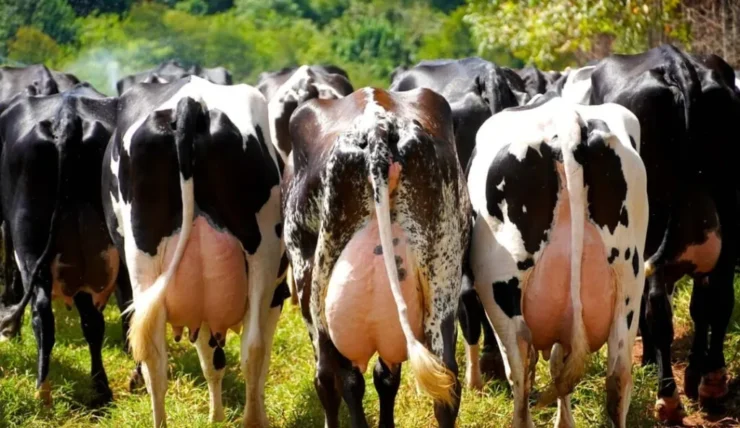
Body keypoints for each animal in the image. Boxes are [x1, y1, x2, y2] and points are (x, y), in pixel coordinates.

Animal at [0, 83, 121, 407]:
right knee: (93, 320)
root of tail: (67, 117)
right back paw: (99, 390)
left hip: (30, 243)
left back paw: (43, 393)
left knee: (43, 315)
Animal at [103, 76, 285, 426]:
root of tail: (190, 102)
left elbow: (210, 359)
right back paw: (253, 420)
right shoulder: (276, 297)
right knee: (253, 348)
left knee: (153, 358)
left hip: (141, 258)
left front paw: (216, 416)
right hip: (264, 253)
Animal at [283, 87, 471, 427]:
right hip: (442, 280)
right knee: (447, 384)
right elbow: (386, 377)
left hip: (314, 287)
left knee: (336, 379)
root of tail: (378, 127)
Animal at [468, 95, 647, 428]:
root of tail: (566, 119)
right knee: (618, 377)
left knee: (520, 375)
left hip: (500, 291)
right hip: (629, 285)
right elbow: (557, 361)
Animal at [590, 44, 740, 423]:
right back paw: (712, 381)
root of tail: (677, 64)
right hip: (729, 210)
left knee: (657, 307)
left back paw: (668, 399)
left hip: (651, 225)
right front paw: (695, 374)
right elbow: (701, 307)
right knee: (719, 296)